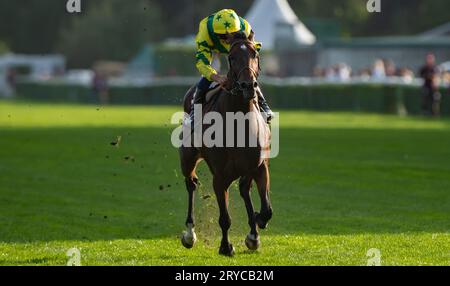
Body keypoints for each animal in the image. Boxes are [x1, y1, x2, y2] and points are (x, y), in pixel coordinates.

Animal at [178, 32, 270, 256]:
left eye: (255, 53)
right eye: (231, 57)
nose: (248, 85)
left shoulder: (259, 166)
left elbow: (266, 209)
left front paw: (256, 225)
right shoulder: (219, 177)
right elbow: (225, 218)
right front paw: (226, 246)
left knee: (245, 190)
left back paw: (253, 234)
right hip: (187, 158)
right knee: (191, 184)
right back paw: (189, 234)